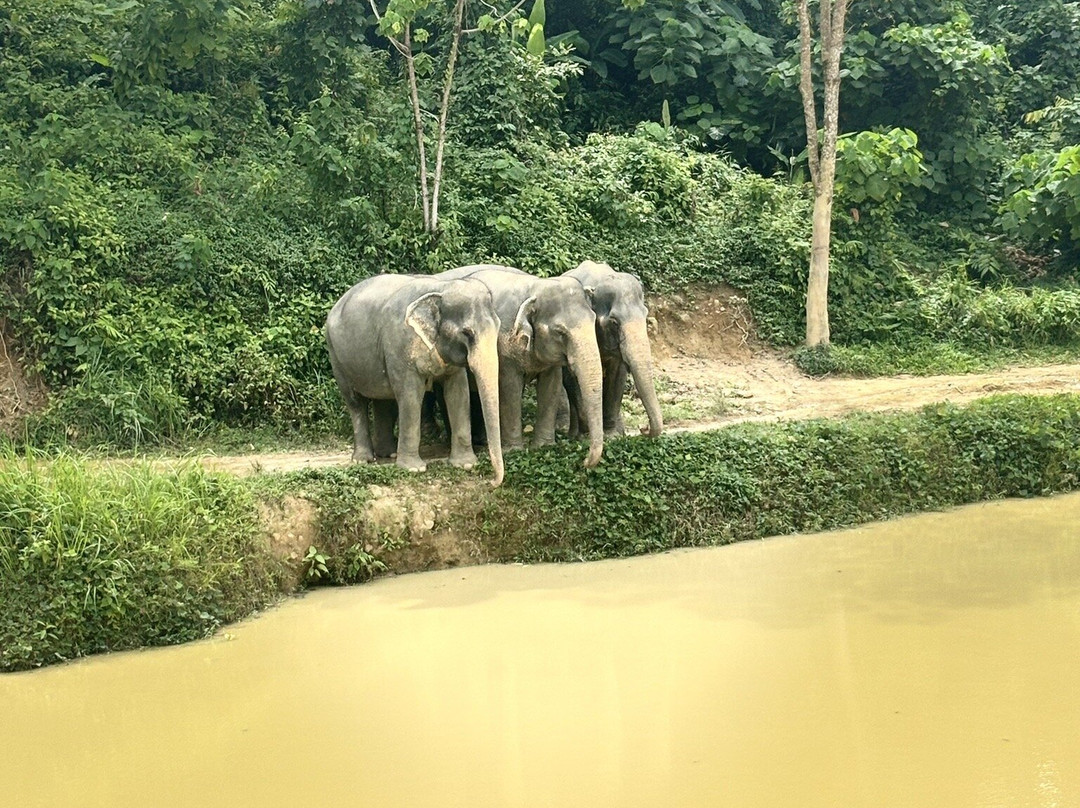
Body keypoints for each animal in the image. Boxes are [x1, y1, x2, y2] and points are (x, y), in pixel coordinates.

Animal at [324, 274, 505, 486]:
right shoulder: (400, 347)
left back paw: (389, 454)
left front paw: (465, 465)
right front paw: (414, 469)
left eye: (498, 327)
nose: (491, 482)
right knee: (356, 403)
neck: (440, 287)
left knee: (384, 401)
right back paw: (363, 460)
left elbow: (459, 394)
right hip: (336, 357)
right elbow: (410, 397)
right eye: (467, 333)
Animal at [436, 264, 606, 469]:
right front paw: (514, 450)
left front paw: (544, 446)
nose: (584, 461)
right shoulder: (504, 350)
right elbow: (510, 388)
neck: (533, 287)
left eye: (593, 321)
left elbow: (551, 386)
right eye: (560, 332)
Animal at [562, 260, 663, 438]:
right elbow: (573, 377)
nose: (642, 427)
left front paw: (612, 435)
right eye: (614, 322)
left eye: (645, 317)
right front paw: (586, 436)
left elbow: (617, 375)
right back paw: (573, 435)